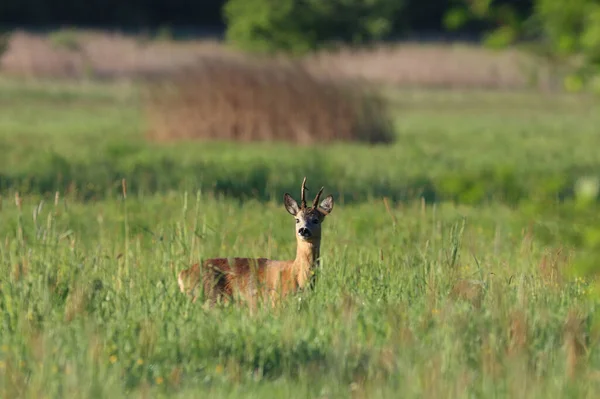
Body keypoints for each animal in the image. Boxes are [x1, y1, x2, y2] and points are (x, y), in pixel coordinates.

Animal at [176, 178, 336, 310]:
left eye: (316, 220)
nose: (303, 230)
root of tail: (183, 274)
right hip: (209, 298)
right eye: (297, 219)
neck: (298, 277)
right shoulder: (275, 303)